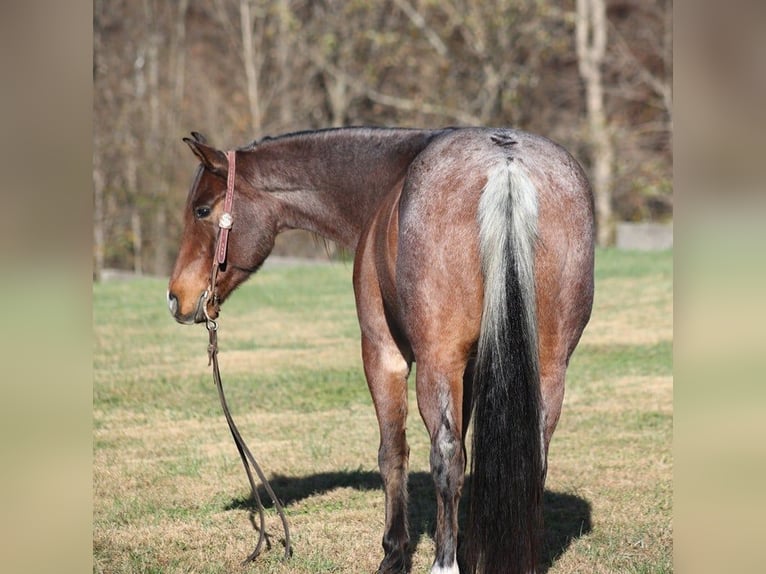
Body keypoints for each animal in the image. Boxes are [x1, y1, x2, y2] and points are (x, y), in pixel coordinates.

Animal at [168, 127, 596, 574]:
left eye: (201, 210)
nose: (176, 298)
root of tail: (506, 166)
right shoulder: (472, 366)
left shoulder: (383, 353)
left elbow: (393, 452)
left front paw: (394, 551)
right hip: (548, 367)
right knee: (532, 455)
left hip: (437, 362)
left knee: (445, 456)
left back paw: (443, 563)